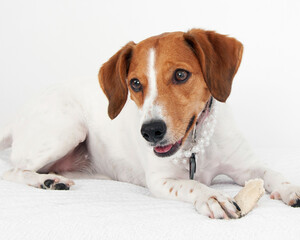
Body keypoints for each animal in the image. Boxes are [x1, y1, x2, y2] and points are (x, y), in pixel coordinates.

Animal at [0, 29, 300, 218]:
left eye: (181, 75)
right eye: (135, 83)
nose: (150, 131)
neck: (195, 146)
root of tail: (17, 116)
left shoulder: (247, 167)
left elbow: (273, 173)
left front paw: (290, 188)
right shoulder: (160, 181)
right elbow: (193, 185)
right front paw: (212, 197)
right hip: (68, 129)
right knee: (13, 170)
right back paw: (46, 180)